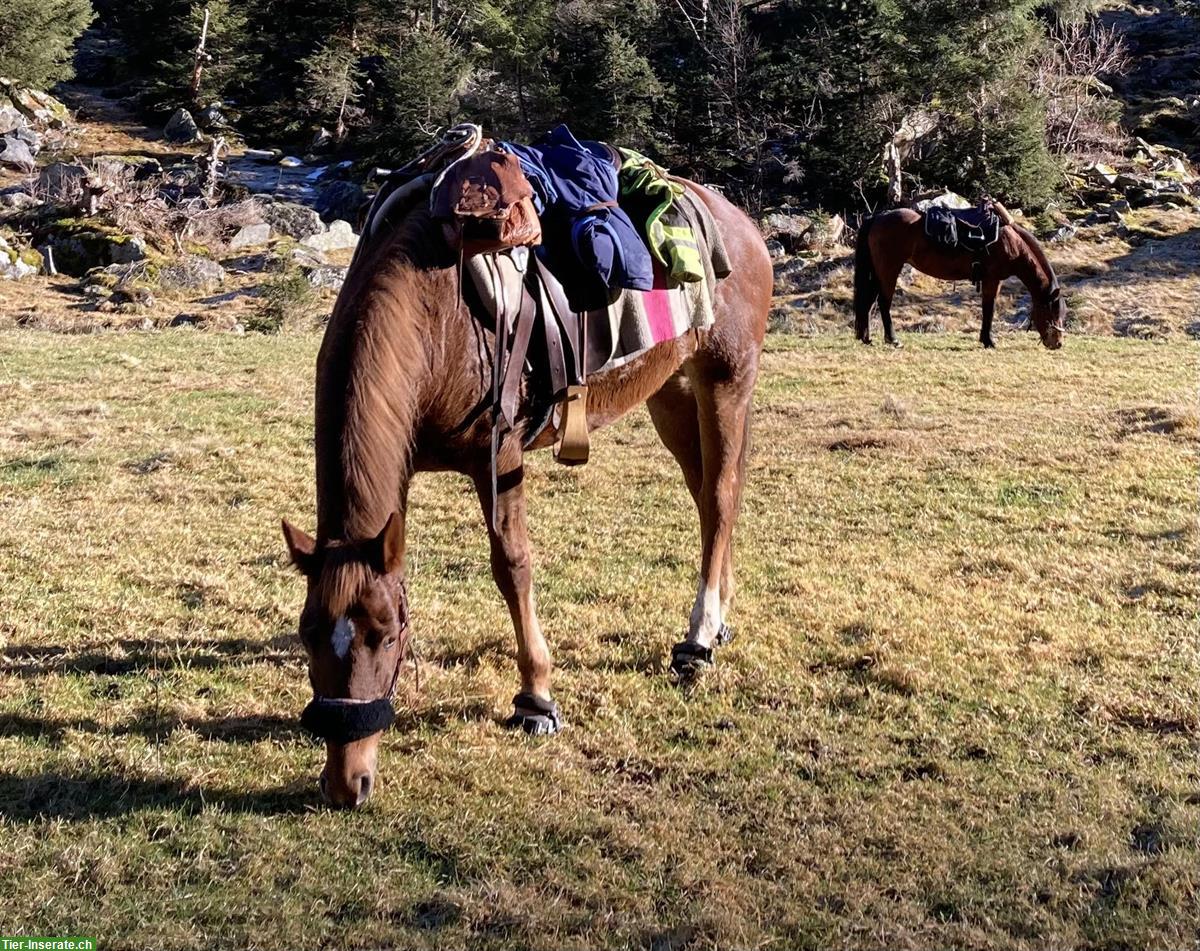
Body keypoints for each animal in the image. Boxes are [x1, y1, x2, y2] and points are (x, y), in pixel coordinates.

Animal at [278, 182, 768, 806]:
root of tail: (740, 223)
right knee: (708, 498)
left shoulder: (501, 458)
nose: (347, 783)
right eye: (307, 635)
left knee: (723, 496)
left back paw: (698, 639)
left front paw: (535, 697)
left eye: (386, 638)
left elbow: (512, 567)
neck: (438, 319)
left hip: (727, 378)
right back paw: (718, 618)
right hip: (672, 390)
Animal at [854, 207, 1070, 348]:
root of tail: (878, 217)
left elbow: (987, 308)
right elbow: (989, 309)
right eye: (1052, 312)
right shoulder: (992, 279)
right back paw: (893, 339)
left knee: (869, 302)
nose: (1057, 343)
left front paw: (986, 339)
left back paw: (866, 337)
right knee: (883, 302)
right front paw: (989, 341)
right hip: (889, 268)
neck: (1012, 243)